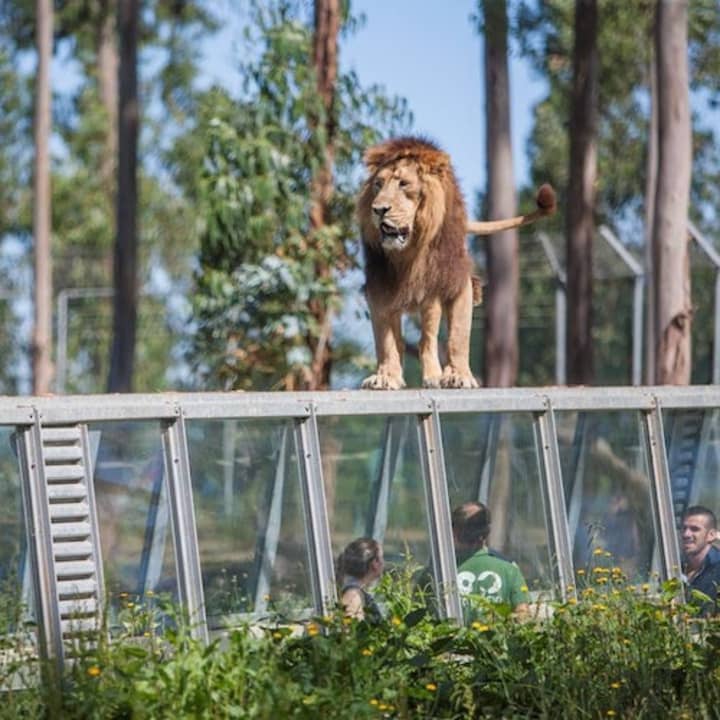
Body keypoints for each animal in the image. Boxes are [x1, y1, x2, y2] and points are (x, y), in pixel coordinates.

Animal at [358, 134, 556, 388]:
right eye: (378, 184)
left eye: (404, 184)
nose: (378, 209)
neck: (411, 251)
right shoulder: (379, 286)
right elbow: (385, 341)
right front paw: (386, 377)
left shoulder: (456, 281)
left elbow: (458, 336)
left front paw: (458, 375)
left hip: (431, 297)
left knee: (427, 338)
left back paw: (434, 376)